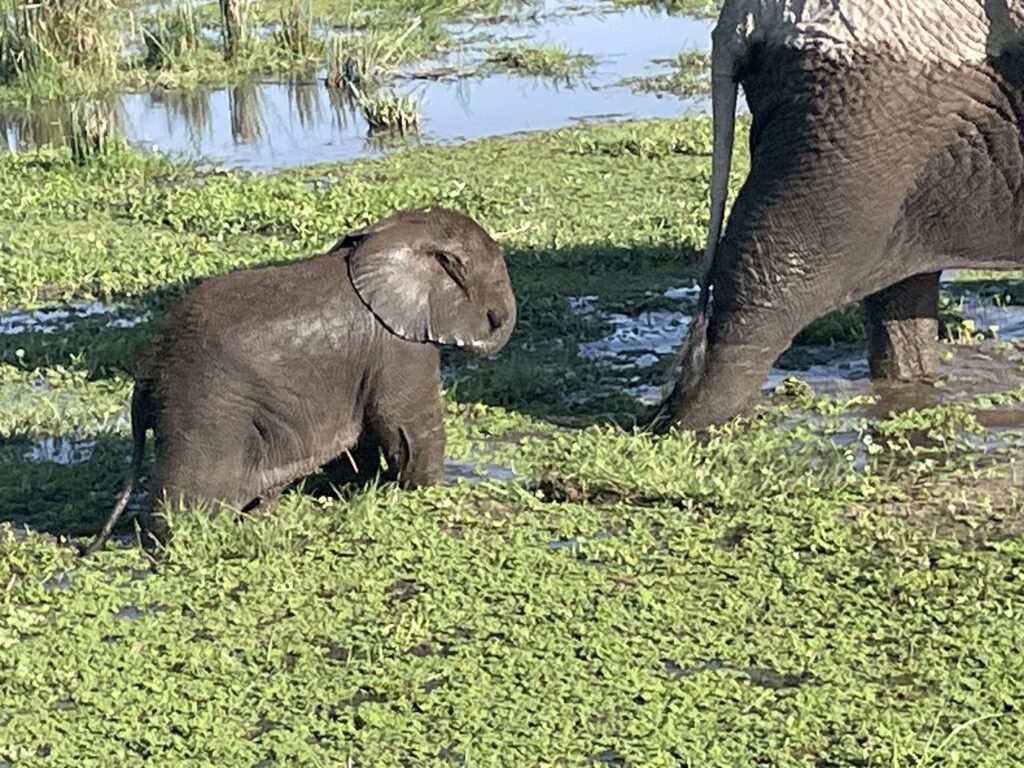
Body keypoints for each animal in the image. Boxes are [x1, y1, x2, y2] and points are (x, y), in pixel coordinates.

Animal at [82, 206, 516, 554]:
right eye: (493, 279)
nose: (497, 320)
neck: (393, 233)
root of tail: (147, 371)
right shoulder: (400, 346)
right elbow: (406, 429)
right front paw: (421, 489)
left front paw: (357, 489)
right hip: (204, 410)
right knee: (188, 499)